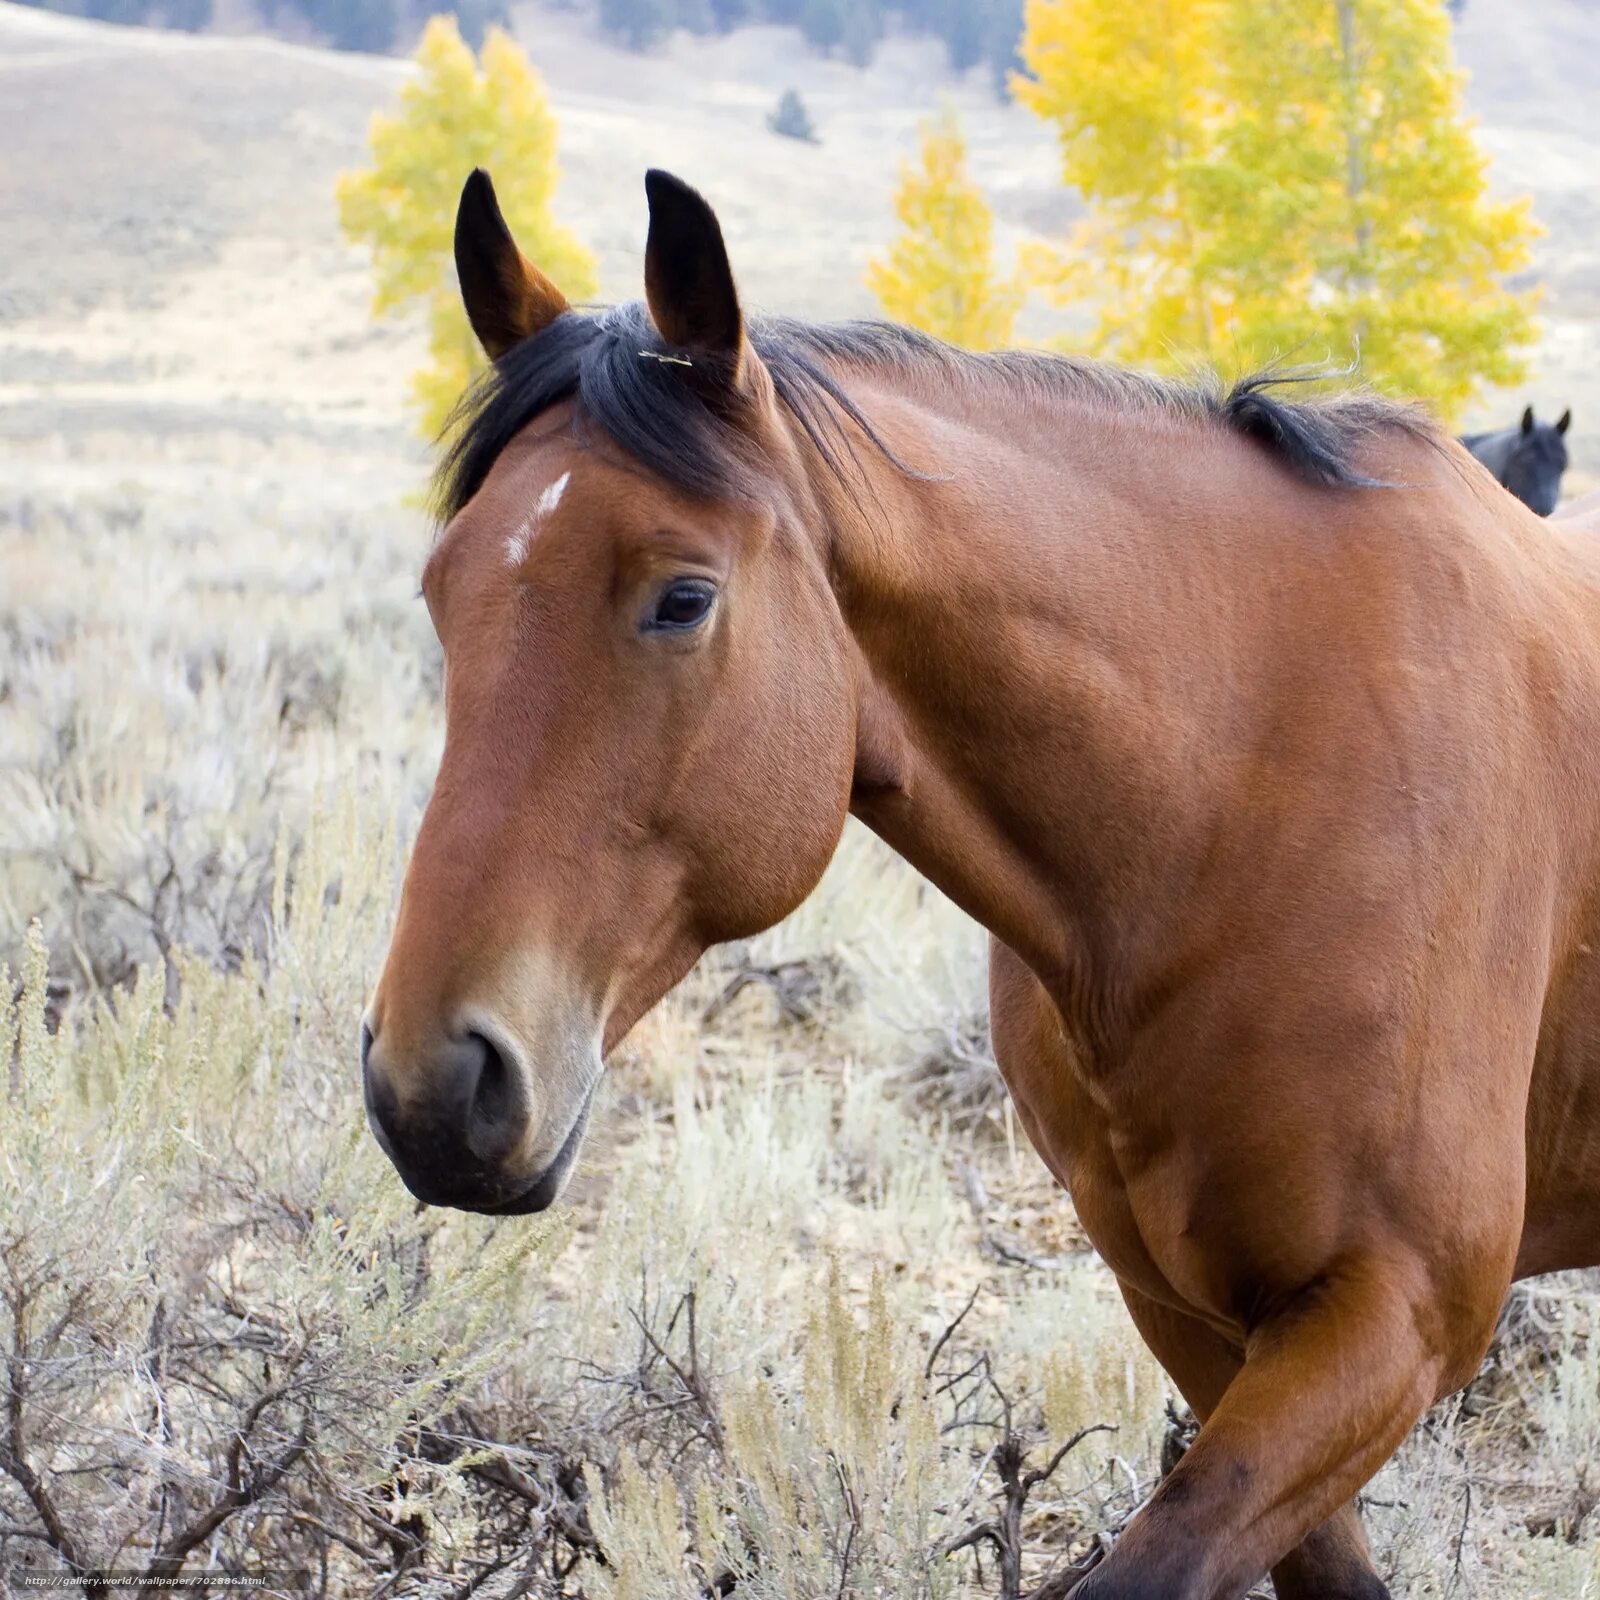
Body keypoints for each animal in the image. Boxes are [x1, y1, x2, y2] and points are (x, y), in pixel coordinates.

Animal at [356, 172, 1600, 1600]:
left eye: (682, 598)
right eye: (441, 590)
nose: (431, 1086)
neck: (1248, 788)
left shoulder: (1396, 1313)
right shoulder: (1187, 1304)